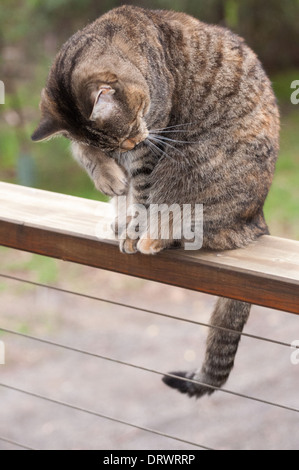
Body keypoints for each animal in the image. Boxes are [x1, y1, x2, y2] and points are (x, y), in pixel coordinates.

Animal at [31, 5, 280, 398]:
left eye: (132, 127)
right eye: (117, 140)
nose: (132, 144)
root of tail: (258, 221)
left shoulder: (153, 143)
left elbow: (142, 194)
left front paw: (133, 223)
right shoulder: (102, 145)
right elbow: (86, 152)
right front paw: (109, 179)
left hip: (196, 173)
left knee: (193, 227)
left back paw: (153, 236)